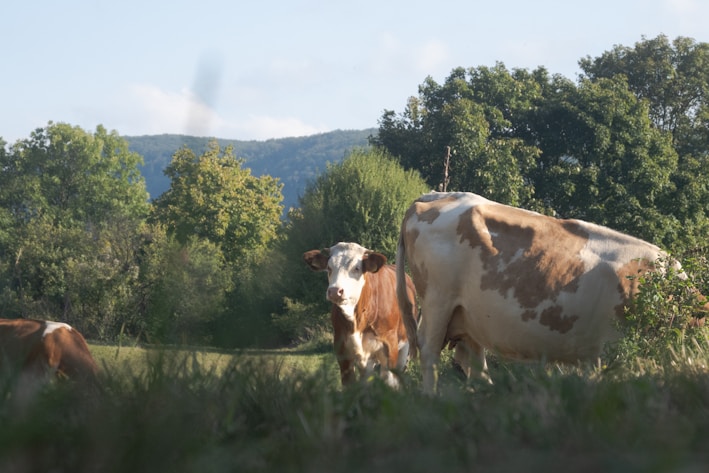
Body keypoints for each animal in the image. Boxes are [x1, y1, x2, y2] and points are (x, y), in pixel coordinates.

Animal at [303, 242, 417, 388]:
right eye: (329, 268)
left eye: (356, 268)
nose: (335, 291)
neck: (356, 322)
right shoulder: (343, 352)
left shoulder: (390, 347)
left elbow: (390, 382)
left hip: (404, 346)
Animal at [396, 191, 708, 394]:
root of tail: (433, 196)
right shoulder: (615, 349)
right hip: (438, 301)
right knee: (430, 353)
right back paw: (431, 397)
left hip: (468, 315)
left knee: (474, 363)